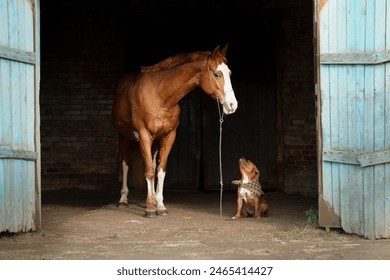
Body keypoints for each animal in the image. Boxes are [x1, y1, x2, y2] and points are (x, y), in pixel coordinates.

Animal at [110, 45, 238, 217]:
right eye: (217, 74)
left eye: (229, 73)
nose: (232, 105)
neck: (160, 96)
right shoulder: (144, 135)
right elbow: (149, 171)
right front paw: (150, 209)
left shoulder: (168, 136)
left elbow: (160, 170)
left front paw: (160, 205)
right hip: (124, 137)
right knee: (125, 164)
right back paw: (123, 199)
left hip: (155, 142)